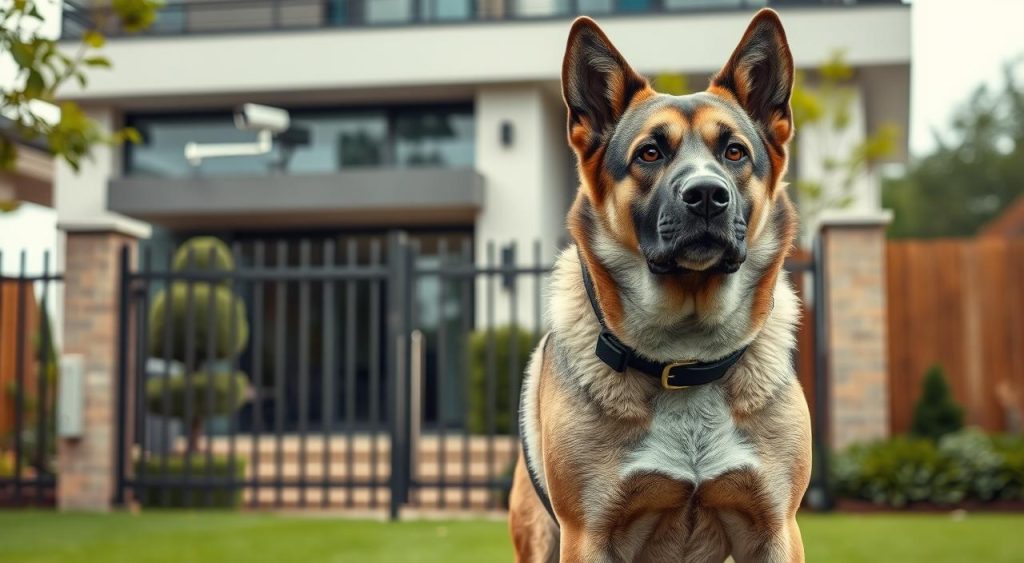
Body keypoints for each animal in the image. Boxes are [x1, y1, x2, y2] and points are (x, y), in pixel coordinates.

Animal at [507, 9, 811, 563]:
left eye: (734, 151)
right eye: (649, 153)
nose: (707, 195)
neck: (684, 357)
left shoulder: (776, 528)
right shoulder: (587, 535)